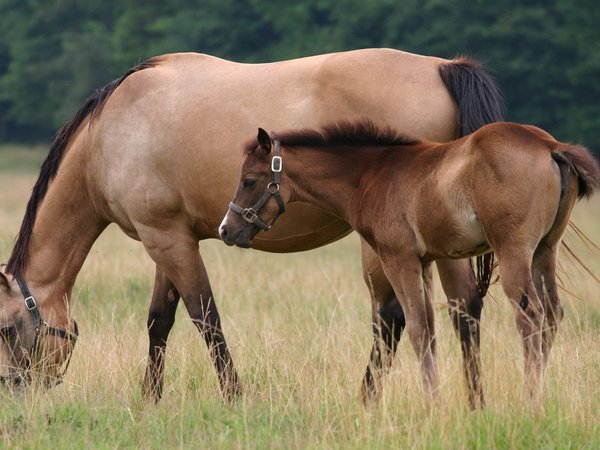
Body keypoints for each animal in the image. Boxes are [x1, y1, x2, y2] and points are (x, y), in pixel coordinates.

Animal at [0, 47, 502, 406]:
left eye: (6, 329)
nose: (13, 389)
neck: (110, 135)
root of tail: (443, 68)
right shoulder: (169, 237)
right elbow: (160, 320)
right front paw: (150, 398)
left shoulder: (164, 239)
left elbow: (205, 318)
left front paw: (233, 396)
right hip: (440, 243)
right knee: (462, 308)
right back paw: (472, 401)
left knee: (394, 318)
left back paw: (368, 400)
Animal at [220, 119, 600, 404]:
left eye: (249, 180)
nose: (227, 229)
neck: (371, 175)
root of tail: (550, 146)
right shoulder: (426, 261)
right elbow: (430, 327)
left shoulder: (398, 258)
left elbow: (418, 328)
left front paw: (433, 403)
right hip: (544, 252)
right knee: (552, 314)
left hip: (513, 252)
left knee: (530, 315)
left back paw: (530, 400)